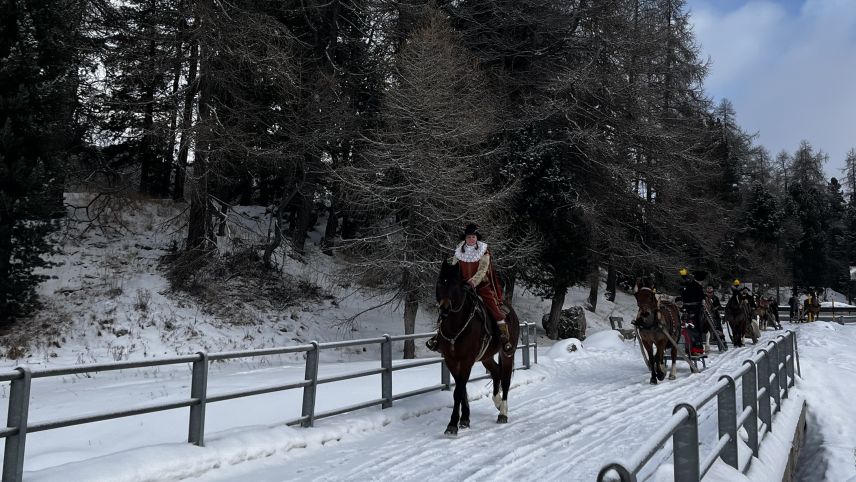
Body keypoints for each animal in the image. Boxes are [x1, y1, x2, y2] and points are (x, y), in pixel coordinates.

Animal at [438, 260, 520, 436]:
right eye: (440, 282)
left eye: (454, 284)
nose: (444, 308)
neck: (455, 327)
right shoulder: (451, 360)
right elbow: (461, 389)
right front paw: (465, 419)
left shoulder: (466, 361)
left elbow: (458, 391)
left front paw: (453, 424)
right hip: (486, 356)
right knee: (496, 372)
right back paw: (497, 402)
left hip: (507, 353)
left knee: (506, 380)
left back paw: (503, 412)